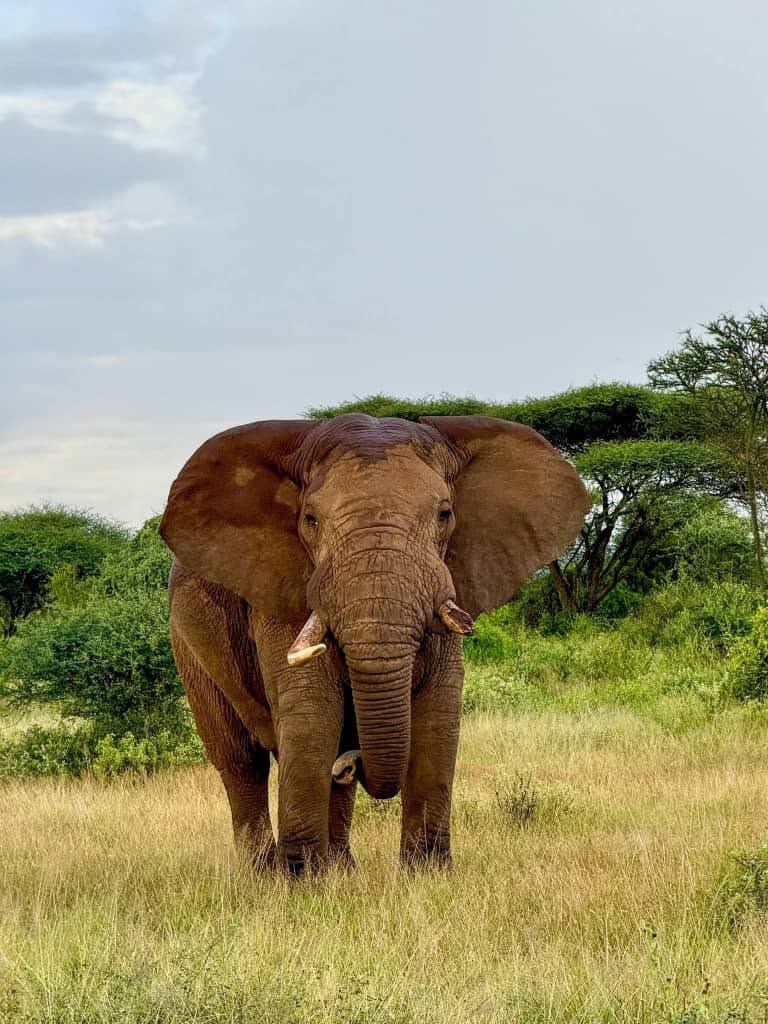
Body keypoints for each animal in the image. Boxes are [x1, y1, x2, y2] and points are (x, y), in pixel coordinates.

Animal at [159, 413, 590, 874]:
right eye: (310, 519)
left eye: (445, 514)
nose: (354, 763)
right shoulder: (281, 590)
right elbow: (313, 711)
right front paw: (303, 881)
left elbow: (438, 713)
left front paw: (426, 875)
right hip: (188, 647)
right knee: (242, 759)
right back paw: (262, 875)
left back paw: (342, 868)